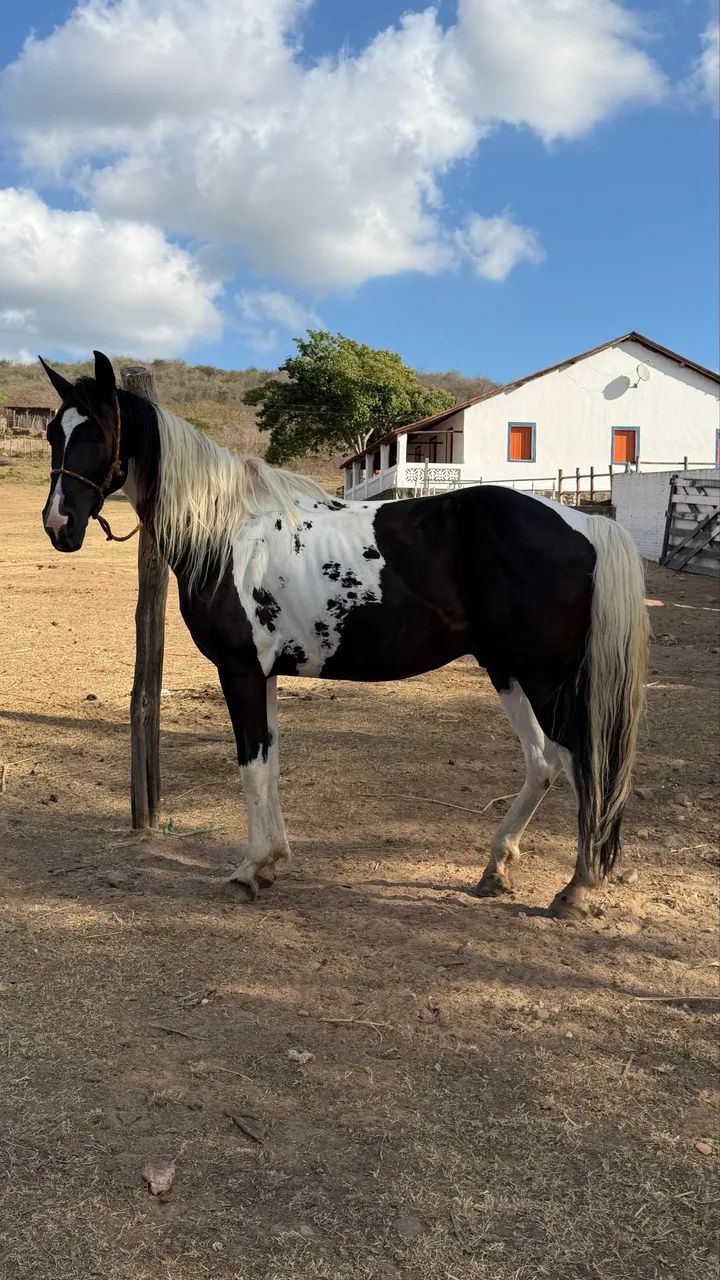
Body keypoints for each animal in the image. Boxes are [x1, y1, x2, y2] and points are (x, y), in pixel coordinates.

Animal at [39, 351, 648, 919]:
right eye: (53, 434)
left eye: (96, 433)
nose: (58, 525)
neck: (227, 530)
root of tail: (587, 524)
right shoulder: (264, 674)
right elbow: (270, 762)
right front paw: (270, 862)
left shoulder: (239, 670)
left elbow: (251, 767)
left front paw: (248, 871)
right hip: (508, 670)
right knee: (544, 763)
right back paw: (497, 869)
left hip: (545, 679)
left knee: (582, 764)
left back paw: (576, 889)